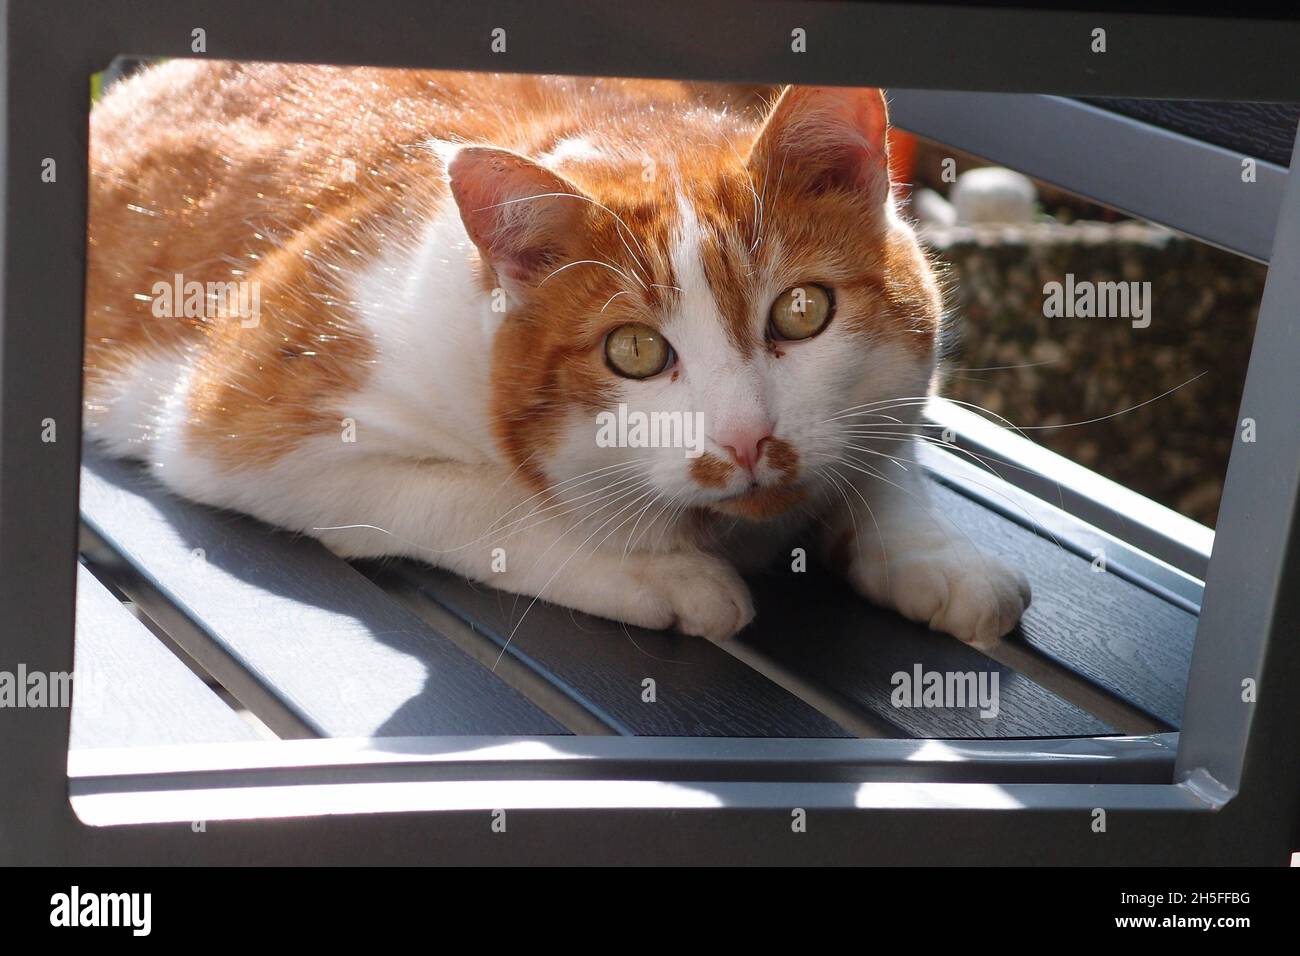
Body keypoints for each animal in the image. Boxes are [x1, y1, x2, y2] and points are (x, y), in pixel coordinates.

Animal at [86, 63, 1029, 647]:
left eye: (802, 312)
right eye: (636, 350)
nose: (746, 440)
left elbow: (886, 448)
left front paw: (932, 553)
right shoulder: (241, 424)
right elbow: (485, 503)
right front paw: (653, 566)